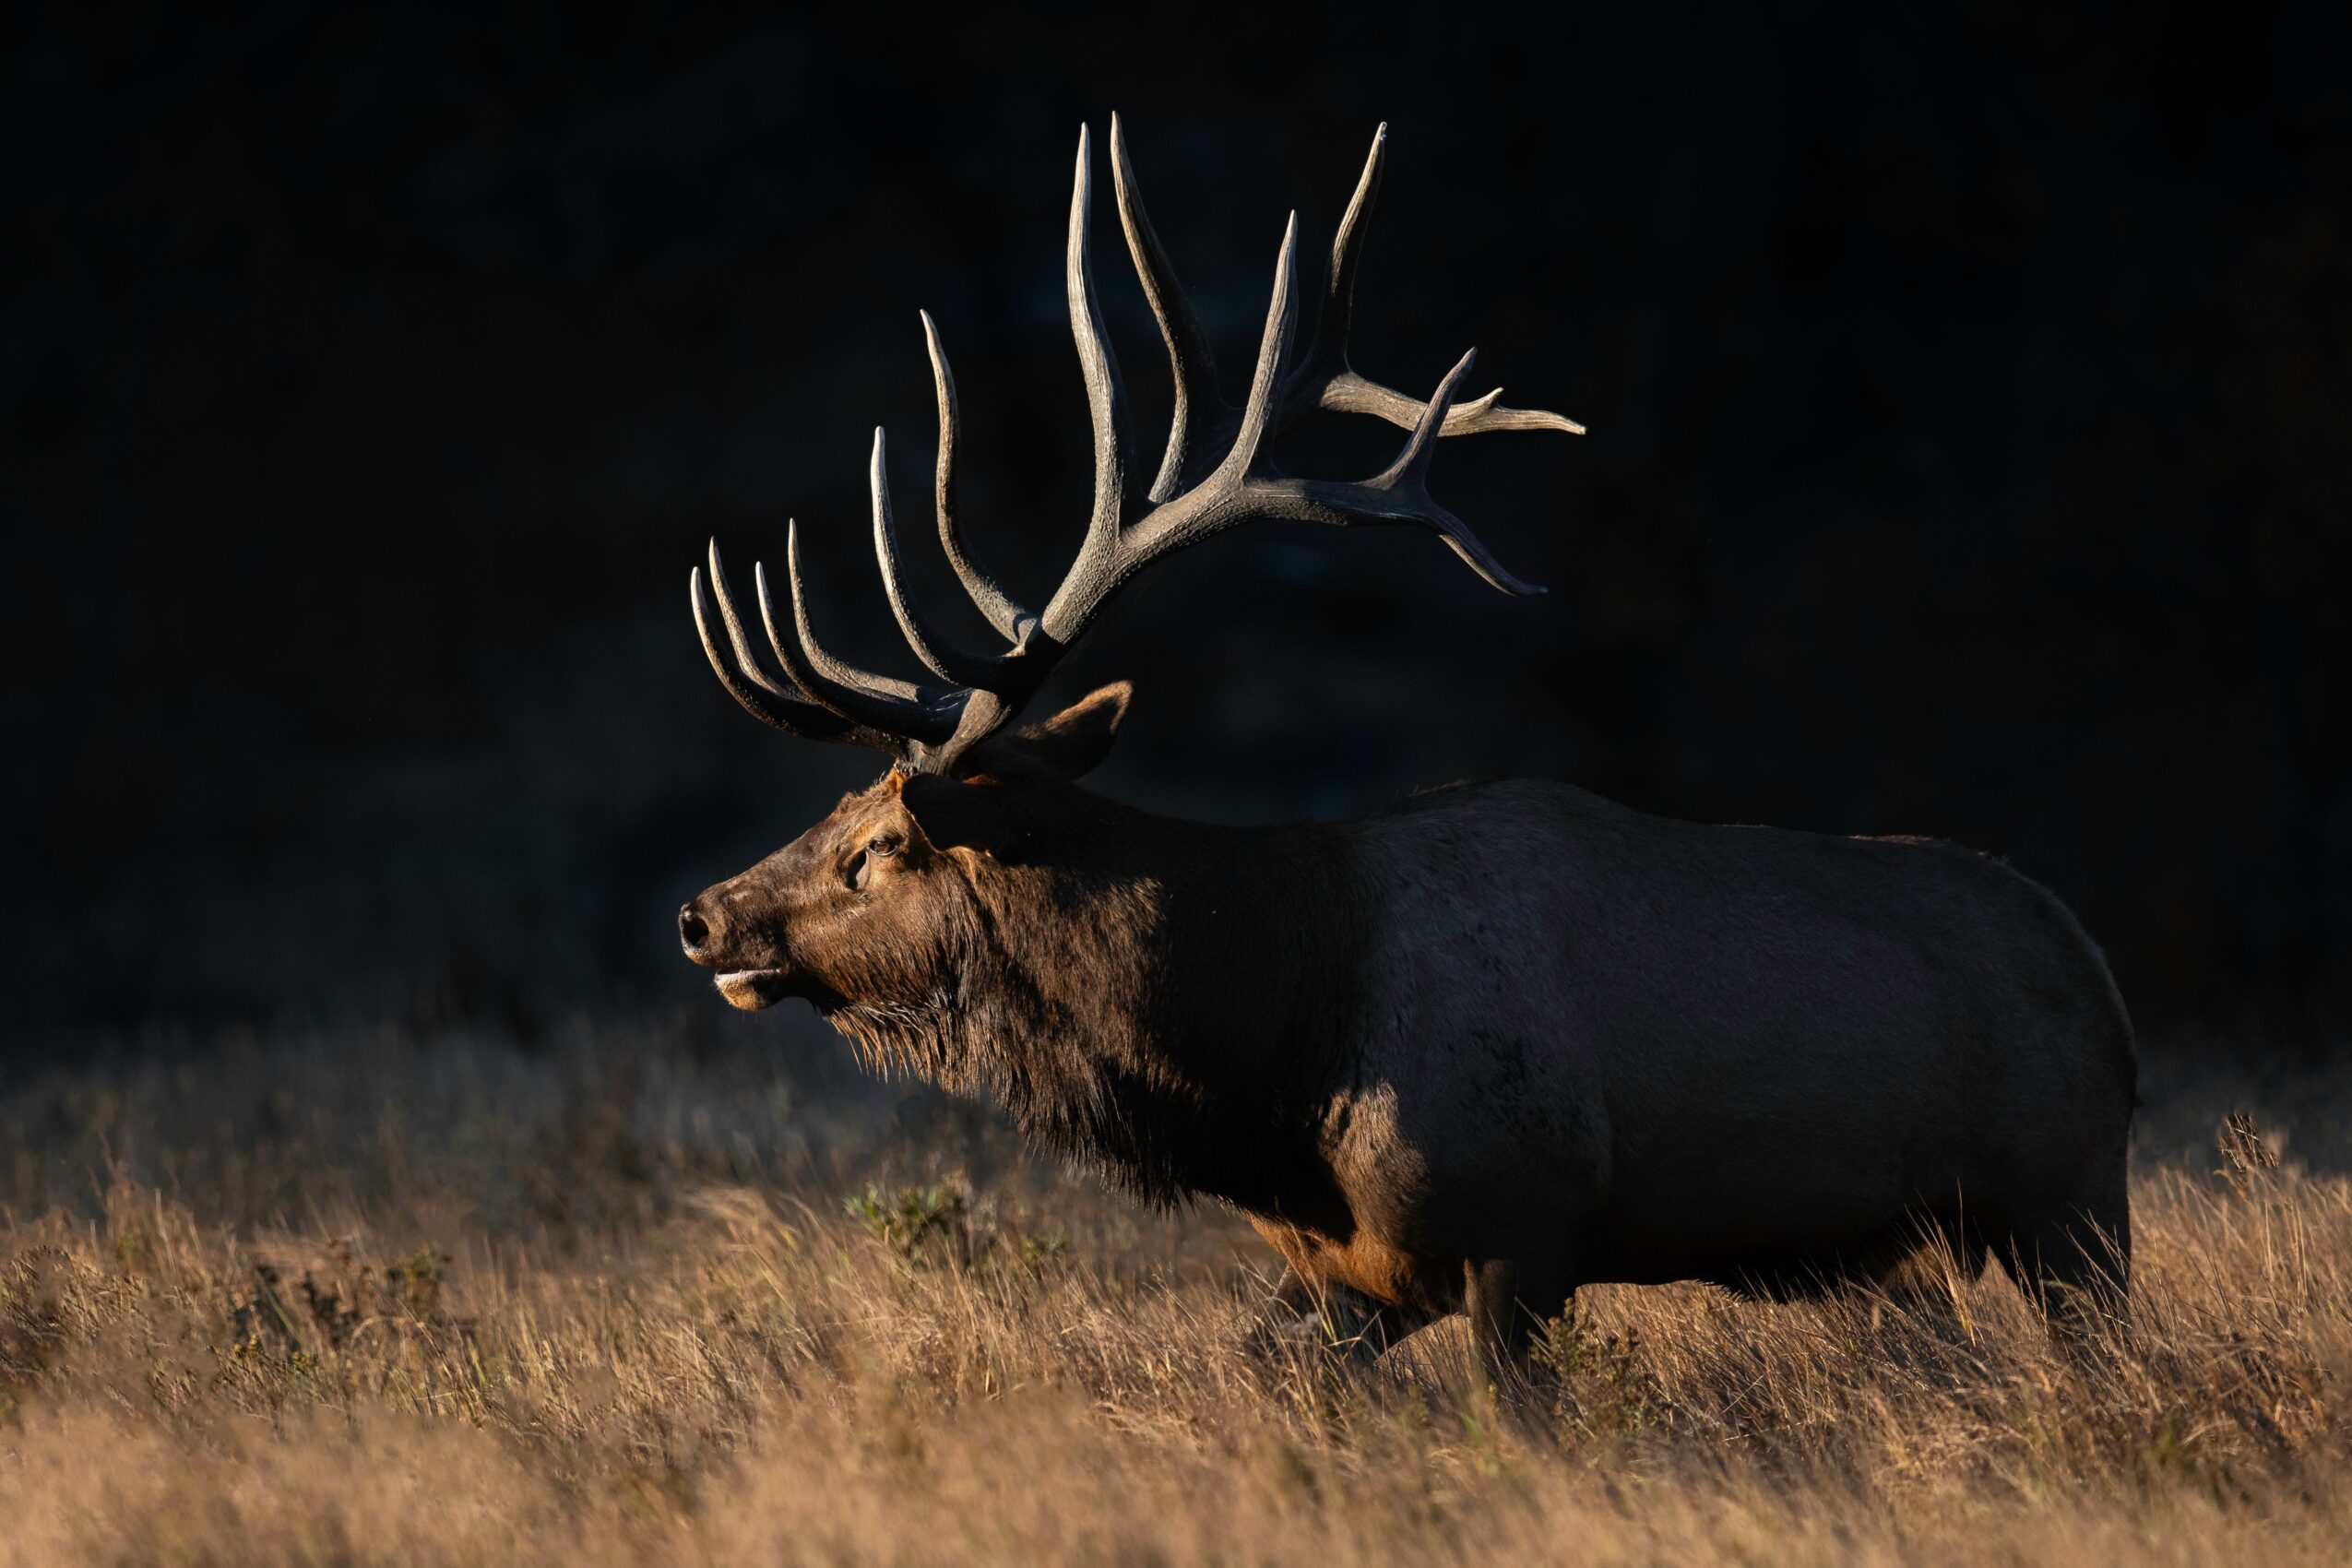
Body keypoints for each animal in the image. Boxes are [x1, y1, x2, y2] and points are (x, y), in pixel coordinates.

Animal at [676, 118, 2137, 1365]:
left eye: (876, 844)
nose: (703, 914)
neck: (1272, 1060)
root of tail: (2101, 976)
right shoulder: (1345, 1275)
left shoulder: (1521, 1227)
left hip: (2070, 1198)